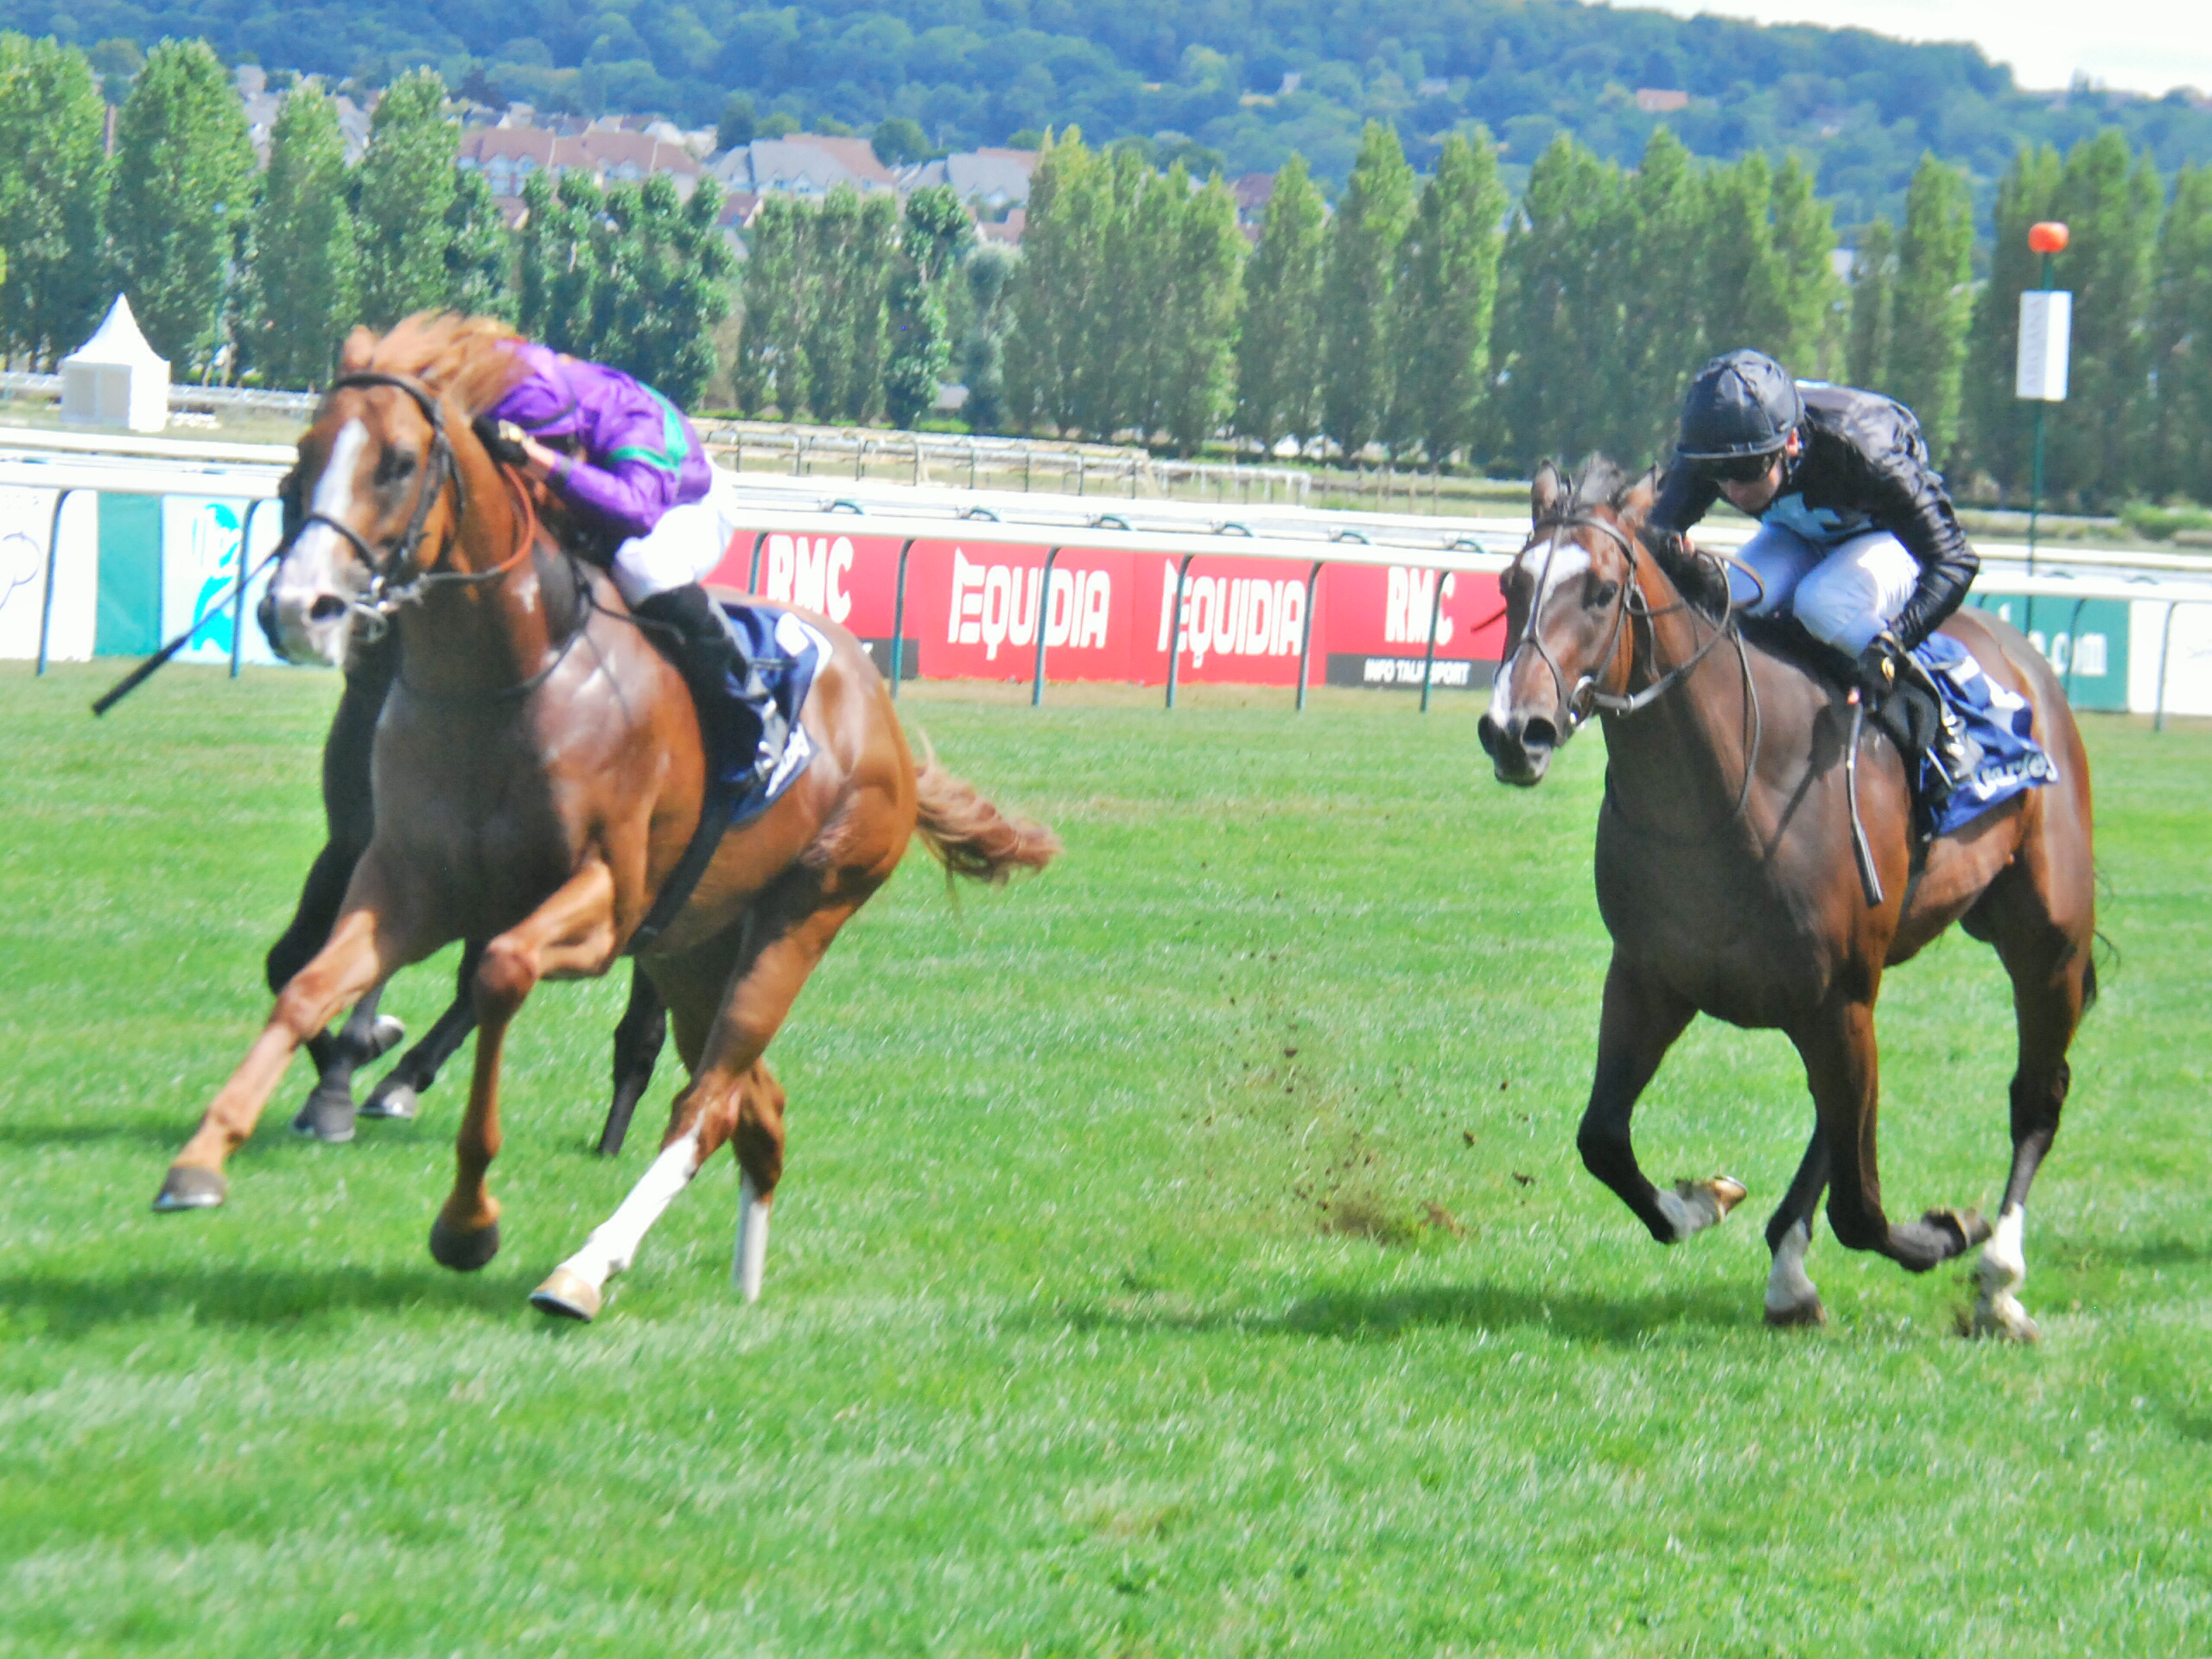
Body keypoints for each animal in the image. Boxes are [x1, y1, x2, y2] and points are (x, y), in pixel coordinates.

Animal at [151, 314, 1057, 1327]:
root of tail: (882, 712)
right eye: (299, 462)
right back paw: (736, 1276)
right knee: (757, 1103)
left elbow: (500, 974)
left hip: (804, 912)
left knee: (706, 1104)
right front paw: (203, 1160)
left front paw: (467, 1220)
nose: (296, 611)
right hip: (694, 946)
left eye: (395, 463)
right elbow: (305, 984)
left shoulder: (602, 904)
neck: (507, 676)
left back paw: (582, 1270)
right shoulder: (403, 883)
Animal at [1478, 462, 2096, 1344]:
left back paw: (1997, 1280)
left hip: (2048, 937)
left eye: (1600, 592)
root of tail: (2023, 656)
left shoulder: (1838, 996)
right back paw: (1791, 1269)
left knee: (2036, 1098)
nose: (1512, 731)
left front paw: (1947, 1231)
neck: (1730, 789)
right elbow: (1602, 1139)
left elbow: (1865, 1212)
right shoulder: (1650, 978)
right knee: (1835, 1121)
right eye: (1511, 583)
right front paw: (1702, 1202)